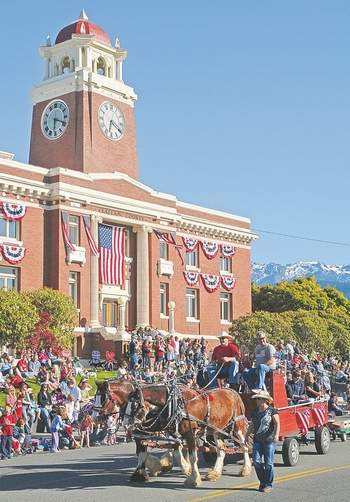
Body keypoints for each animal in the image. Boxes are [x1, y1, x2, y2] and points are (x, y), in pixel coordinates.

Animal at [98, 380, 252, 486]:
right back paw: (214, 473)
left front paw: (193, 478)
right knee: (221, 449)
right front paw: (144, 472)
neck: (173, 403)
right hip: (216, 429)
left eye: (135, 404)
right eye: (127, 404)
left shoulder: (189, 433)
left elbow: (192, 456)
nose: (126, 424)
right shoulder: (161, 432)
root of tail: (232, 391)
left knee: (244, 446)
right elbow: (153, 451)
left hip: (238, 425)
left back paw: (245, 469)